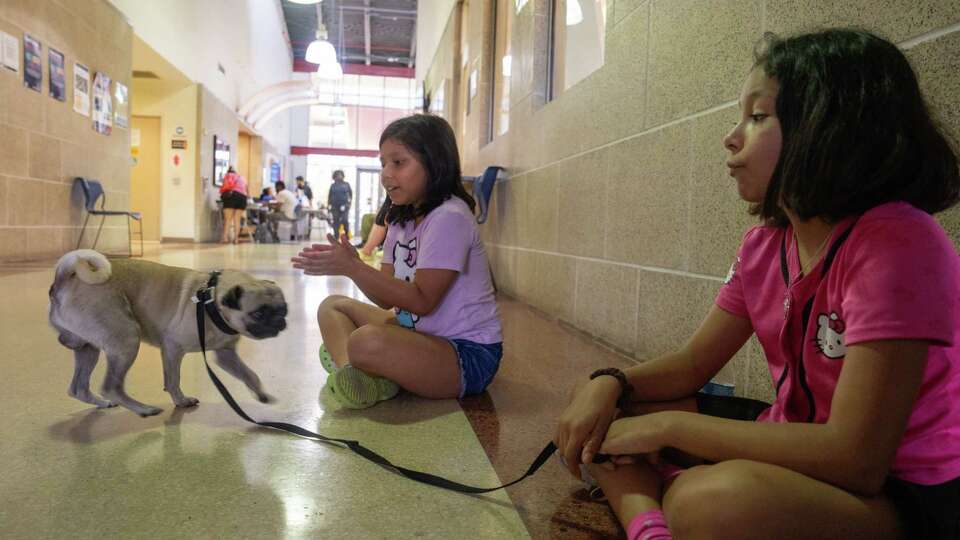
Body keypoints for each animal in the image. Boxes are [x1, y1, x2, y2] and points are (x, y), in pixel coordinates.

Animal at [48, 250, 286, 418]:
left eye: (284, 309)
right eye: (259, 313)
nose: (280, 322)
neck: (210, 301)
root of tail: (64, 279)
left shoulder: (226, 355)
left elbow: (249, 374)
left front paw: (260, 393)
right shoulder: (173, 349)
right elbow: (173, 380)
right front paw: (180, 401)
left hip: (89, 349)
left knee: (78, 388)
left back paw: (102, 403)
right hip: (127, 341)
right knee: (111, 386)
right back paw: (143, 409)